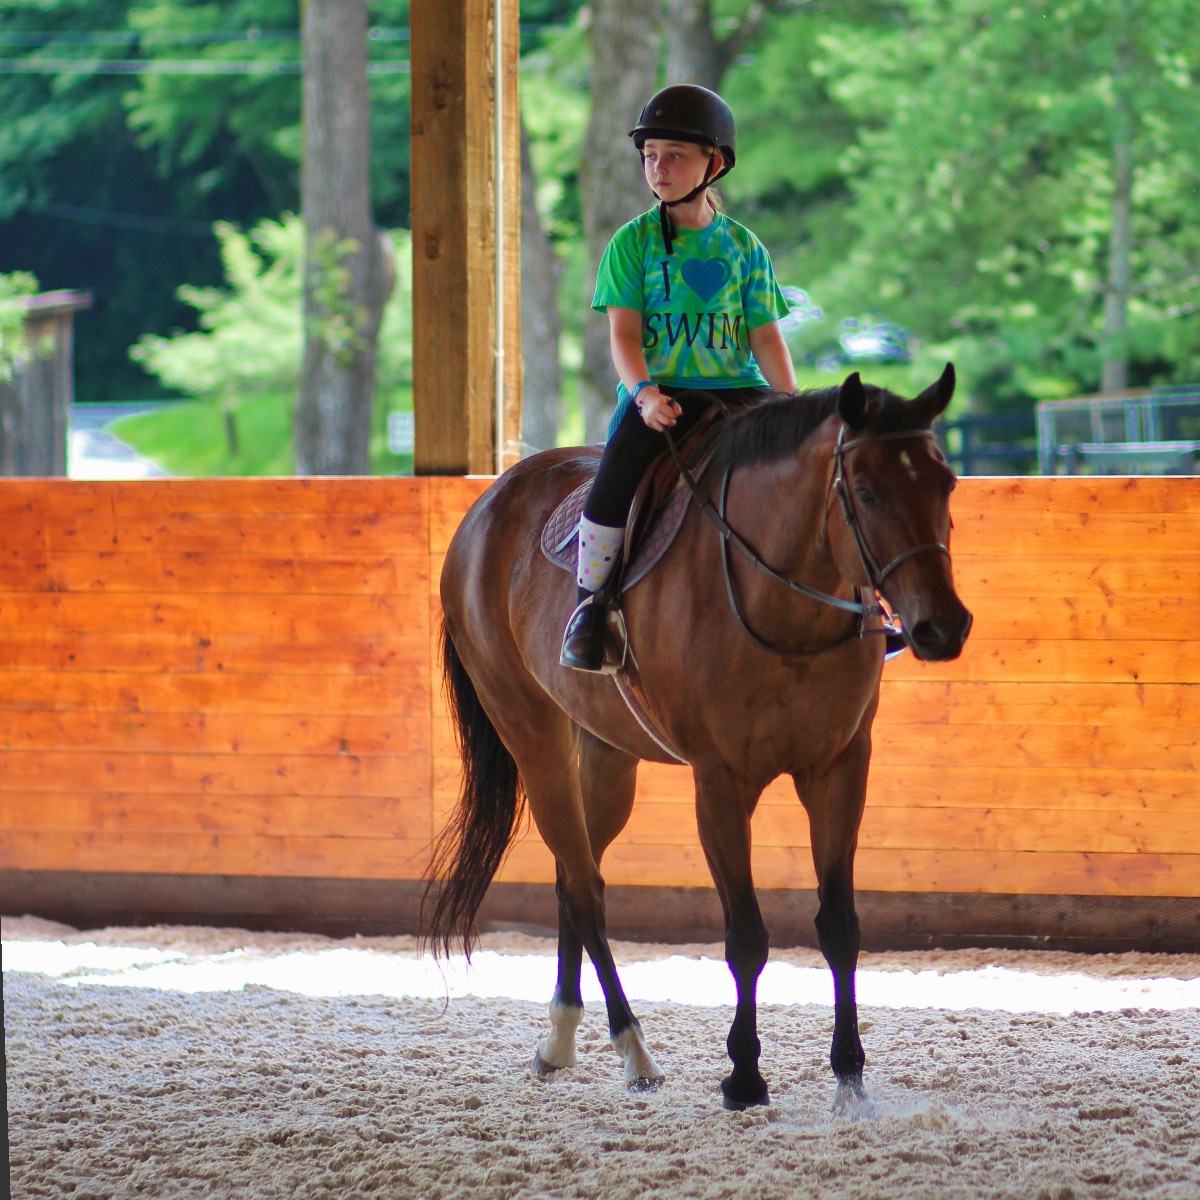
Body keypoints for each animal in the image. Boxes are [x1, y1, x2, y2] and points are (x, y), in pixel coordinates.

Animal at [427, 367, 969, 1113]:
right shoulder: (719, 783)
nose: (942, 627)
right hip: (534, 739)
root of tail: (487, 505)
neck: (783, 604)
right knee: (587, 891)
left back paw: (560, 1039)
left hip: (607, 755)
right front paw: (744, 1075)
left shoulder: (838, 768)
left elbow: (839, 925)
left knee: (573, 878)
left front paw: (849, 1073)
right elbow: (745, 936)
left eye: (945, 484)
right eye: (865, 491)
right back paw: (633, 1050)